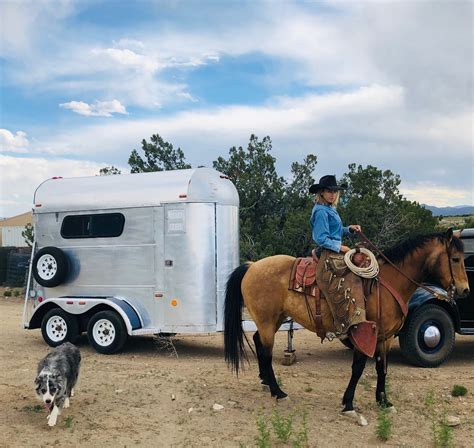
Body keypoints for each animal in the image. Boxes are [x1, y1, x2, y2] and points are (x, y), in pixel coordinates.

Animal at [224, 229, 468, 418]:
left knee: (257, 342)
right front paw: (348, 403)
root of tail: (252, 266)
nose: (465, 290)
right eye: (455, 258)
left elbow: (382, 368)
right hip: (267, 321)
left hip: (275, 319)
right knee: (265, 351)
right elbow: (358, 368)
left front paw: (383, 401)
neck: (388, 284)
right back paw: (278, 391)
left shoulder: (385, 338)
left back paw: (265, 381)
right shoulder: (364, 333)